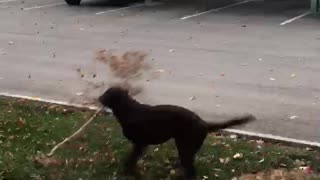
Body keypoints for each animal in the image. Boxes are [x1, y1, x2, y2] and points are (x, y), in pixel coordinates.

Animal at [99, 86, 255, 179]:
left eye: (107, 93)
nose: (99, 98)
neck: (128, 109)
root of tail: (203, 123)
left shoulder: (139, 144)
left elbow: (130, 160)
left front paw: (128, 172)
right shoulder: (140, 145)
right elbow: (132, 159)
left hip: (185, 148)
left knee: (191, 172)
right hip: (187, 148)